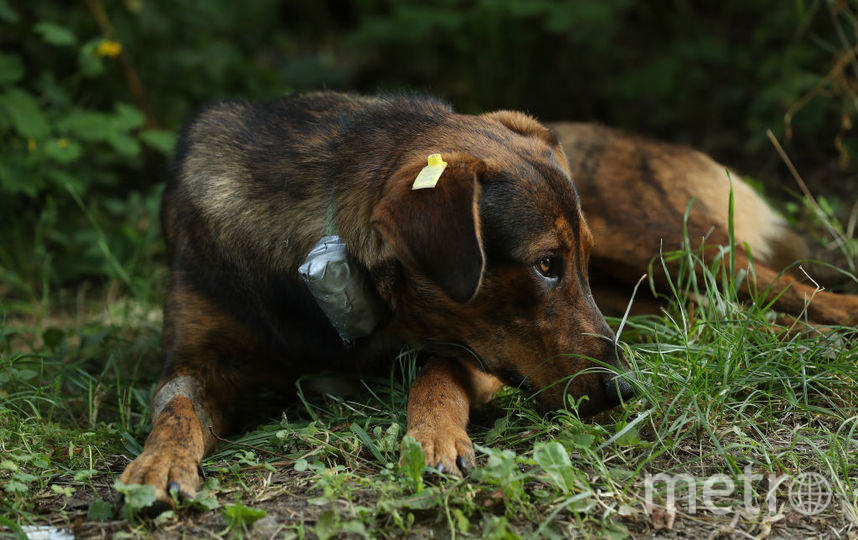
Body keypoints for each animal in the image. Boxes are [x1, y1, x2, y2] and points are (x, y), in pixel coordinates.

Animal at [120, 93, 856, 506]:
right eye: (546, 266)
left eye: (565, 264)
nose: (624, 390)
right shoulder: (196, 358)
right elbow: (175, 409)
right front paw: (156, 464)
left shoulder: (481, 351)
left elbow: (437, 375)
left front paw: (434, 436)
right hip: (650, 287)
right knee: (710, 312)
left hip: (664, 244)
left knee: (776, 285)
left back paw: (831, 328)